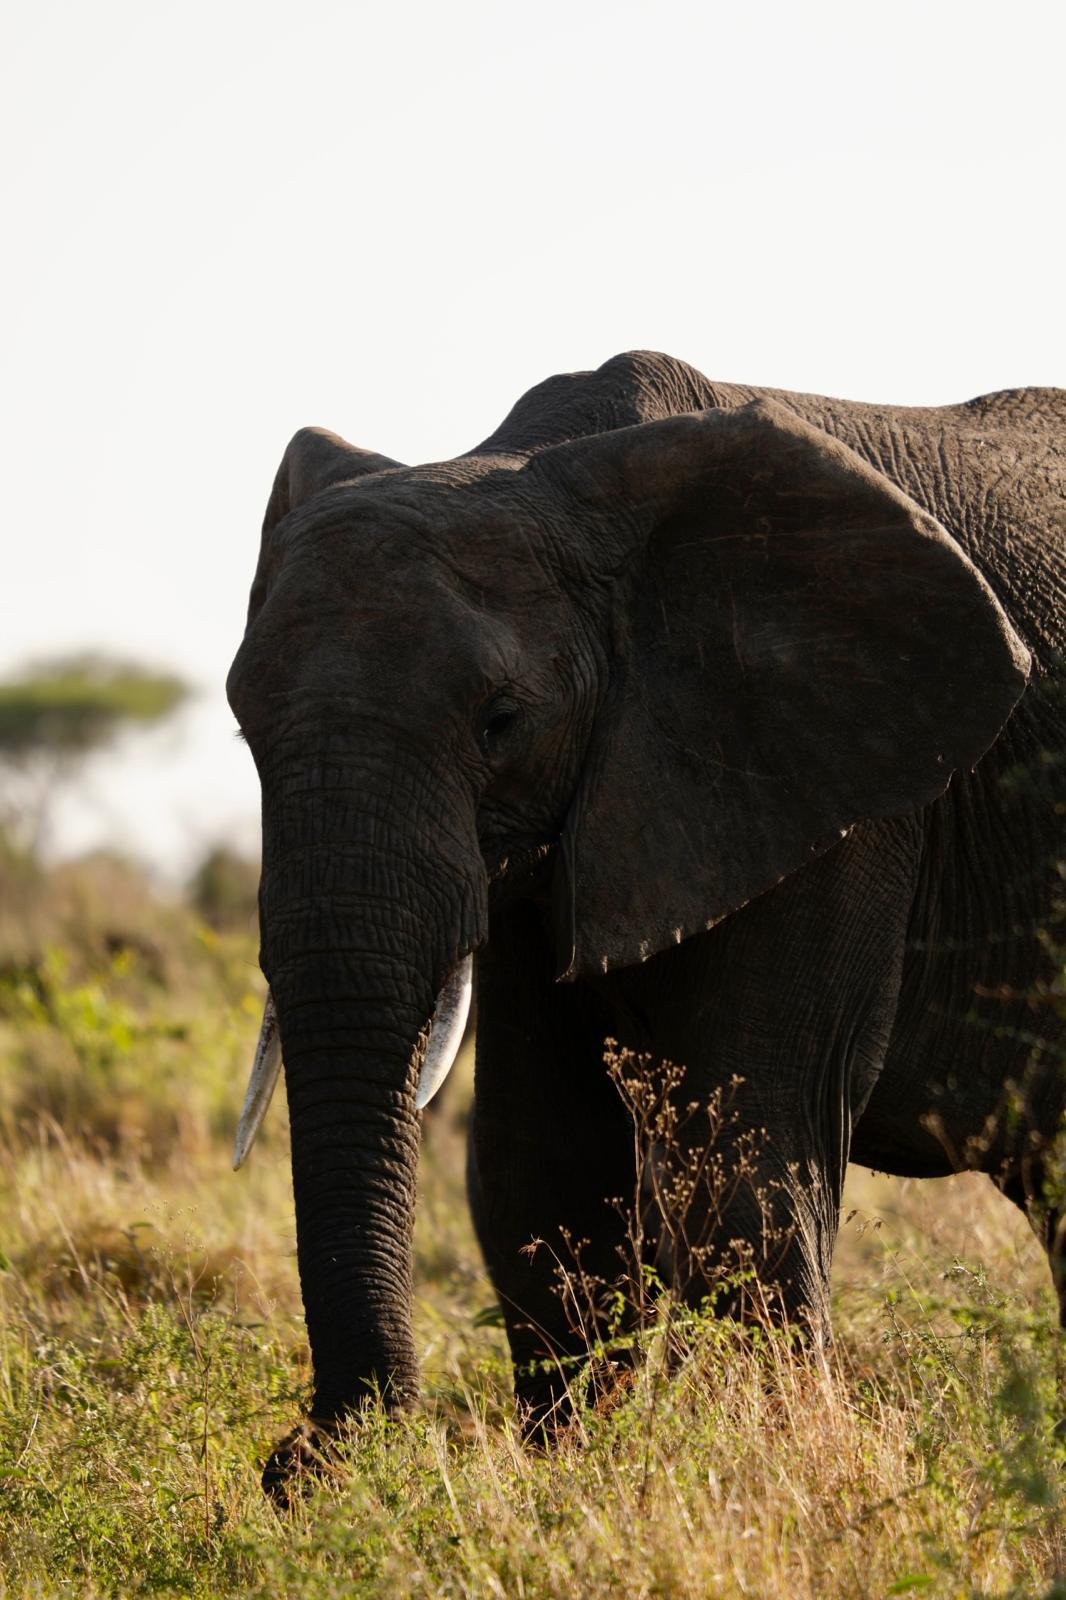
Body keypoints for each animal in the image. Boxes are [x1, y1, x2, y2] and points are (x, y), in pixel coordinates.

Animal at [226, 350, 1065, 1500]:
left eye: (501, 723)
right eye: (243, 725)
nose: (298, 1464)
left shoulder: (840, 785)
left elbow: (752, 1142)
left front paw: (760, 1467)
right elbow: (544, 1159)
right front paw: (574, 1477)